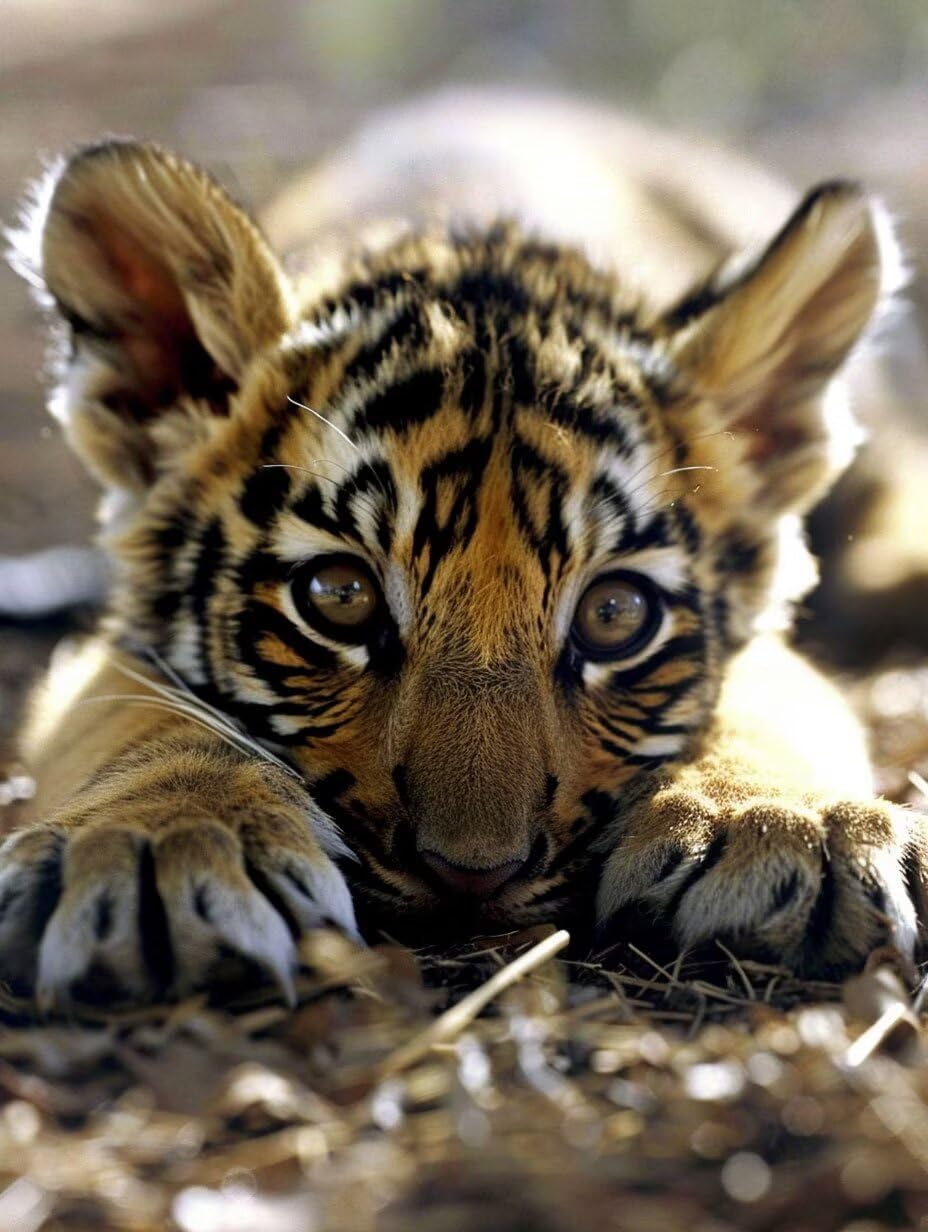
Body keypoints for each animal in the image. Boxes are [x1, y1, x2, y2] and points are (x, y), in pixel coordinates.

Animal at [3, 89, 926, 1007]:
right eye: (339, 597)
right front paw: (161, 844)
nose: (472, 874)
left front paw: (785, 823)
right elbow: (141, 713)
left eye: (616, 614)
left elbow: (767, 699)